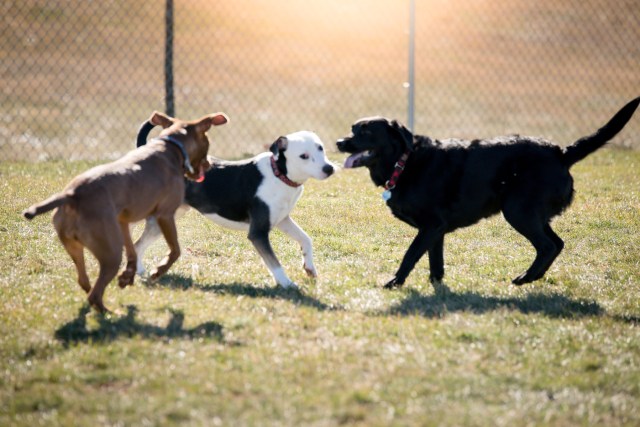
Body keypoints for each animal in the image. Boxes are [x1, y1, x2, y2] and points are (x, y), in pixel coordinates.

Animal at [23, 111, 229, 311]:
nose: (210, 165)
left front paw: (128, 275)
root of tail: (72, 195)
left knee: (84, 281)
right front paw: (157, 271)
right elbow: (175, 250)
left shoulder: (123, 221)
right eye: (207, 143)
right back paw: (111, 312)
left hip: (75, 246)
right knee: (95, 293)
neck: (170, 147)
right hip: (111, 253)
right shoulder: (165, 215)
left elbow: (133, 250)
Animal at [134, 120, 335, 289]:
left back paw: (140, 271)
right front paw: (286, 283)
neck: (279, 174)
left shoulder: (282, 219)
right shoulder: (258, 233)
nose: (329, 169)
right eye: (304, 156)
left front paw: (309, 267)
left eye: (320, 148)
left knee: (138, 245)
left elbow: (305, 239)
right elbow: (274, 262)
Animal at [337, 97, 640, 288]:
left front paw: (395, 283)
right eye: (352, 128)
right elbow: (435, 263)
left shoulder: (430, 226)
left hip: (518, 211)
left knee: (548, 245)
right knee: (558, 243)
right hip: (532, 214)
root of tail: (561, 153)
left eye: (366, 132)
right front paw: (437, 288)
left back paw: (525, 278)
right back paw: (534, 277)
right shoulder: (436, 230)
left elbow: (410, 255)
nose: (339, 142)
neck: (405, 161)